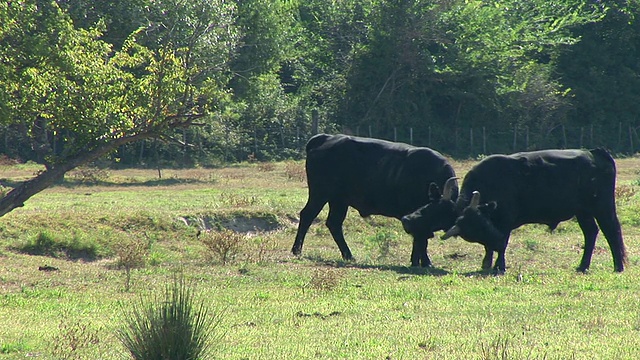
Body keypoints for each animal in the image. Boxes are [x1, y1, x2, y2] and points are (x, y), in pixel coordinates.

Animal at [292, 134, 458, 266]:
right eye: (428, 208)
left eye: (437, 211)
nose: (406, 221)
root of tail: (325, 138)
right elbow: (421, 239)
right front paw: (423, 262)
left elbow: (421, 239)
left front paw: (418, 261)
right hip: (319, 194)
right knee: (307, 215)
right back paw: (297, 250)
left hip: (339, 201)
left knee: (334, 224)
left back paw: (348, 255)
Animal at [402, 148, 628, 272]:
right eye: (428, 208)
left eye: (480, 226)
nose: (407, 220)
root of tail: (594, 152)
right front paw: (488, 263)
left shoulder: (506, 221)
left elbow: (503, 244)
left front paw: (498, 266)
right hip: (583, 212)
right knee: (591, 233)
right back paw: (583, 266)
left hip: (602, 207)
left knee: (611, 231)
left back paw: (618, 266)